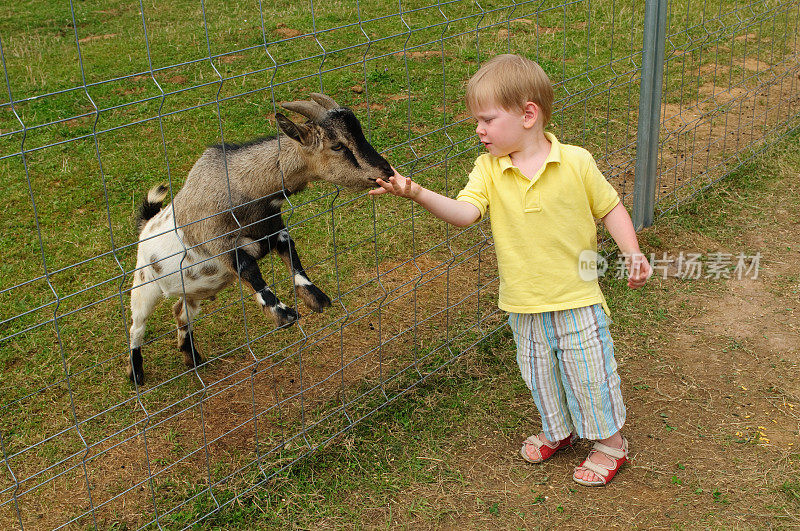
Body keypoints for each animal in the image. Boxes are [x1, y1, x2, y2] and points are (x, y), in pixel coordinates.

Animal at [128, 92, 394, 386]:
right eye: (337, 145)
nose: (386, 172)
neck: (244, 189)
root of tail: (145, 228)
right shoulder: (219, 242)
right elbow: (249, 270)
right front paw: (283, 314)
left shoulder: (273, 229)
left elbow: (292, 254)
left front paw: (315, 297)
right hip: (143, 283)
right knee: (136, 326)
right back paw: (136, 373)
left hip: (194, 291)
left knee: (180, 312)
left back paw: (192, 359)